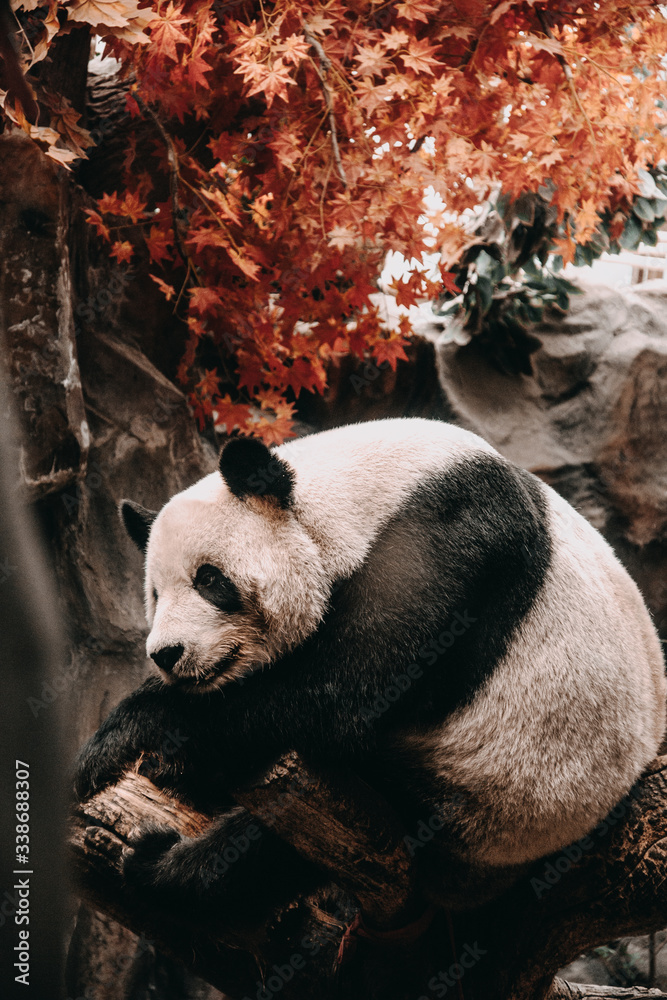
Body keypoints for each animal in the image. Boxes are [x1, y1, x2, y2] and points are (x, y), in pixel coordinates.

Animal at [75, 417, 666, 924]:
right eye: (155, 593)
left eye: (210, 580)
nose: (166, 653)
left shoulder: (449, 536)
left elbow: (344, 690)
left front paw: (125, 738)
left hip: (490, 793)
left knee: (289, 839)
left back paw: (165, 866)